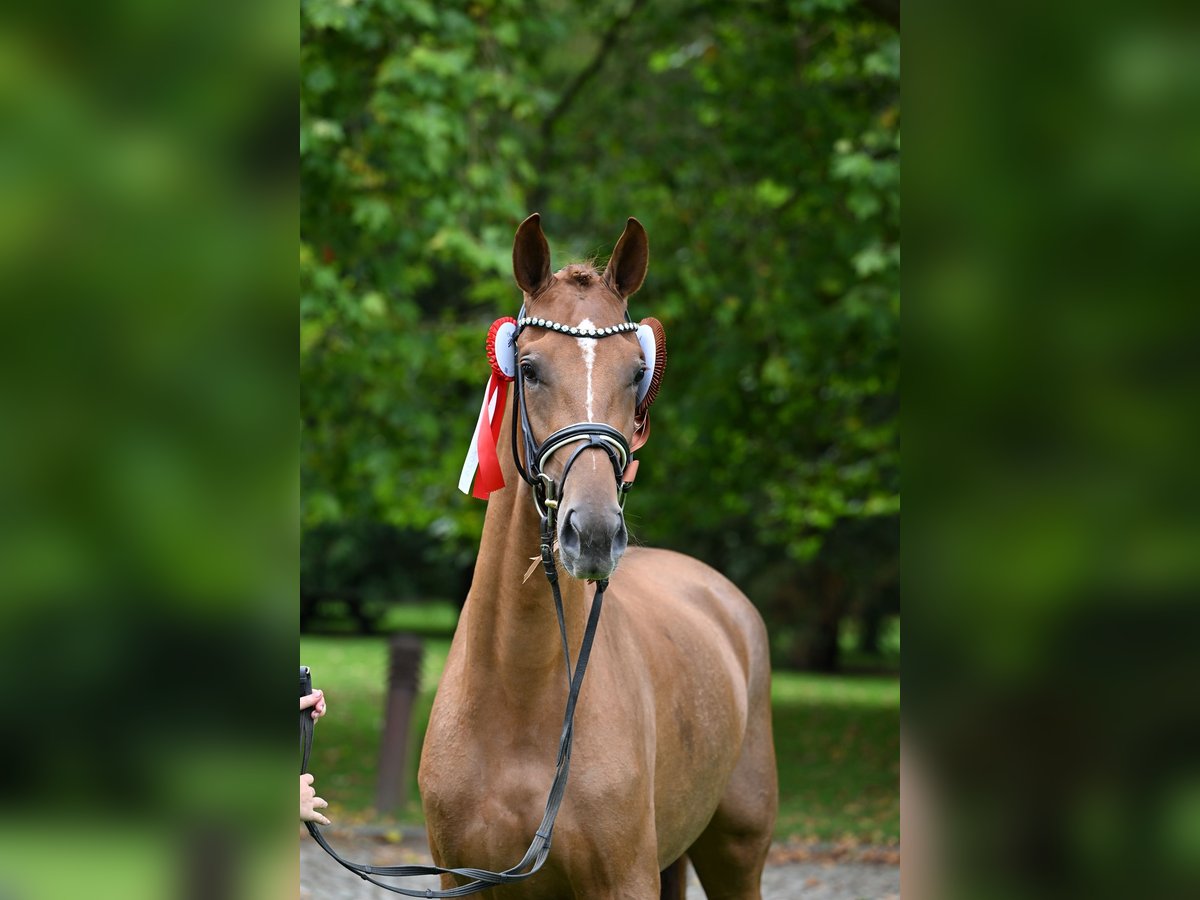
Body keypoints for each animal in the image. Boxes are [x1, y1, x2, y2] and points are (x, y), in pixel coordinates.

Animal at [420, 214, 777, 897]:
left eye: (636, 372)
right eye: (529, 368)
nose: (592, 534)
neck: (518, 695)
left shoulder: (626, 879)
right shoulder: (460, 879)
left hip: (736, 850)